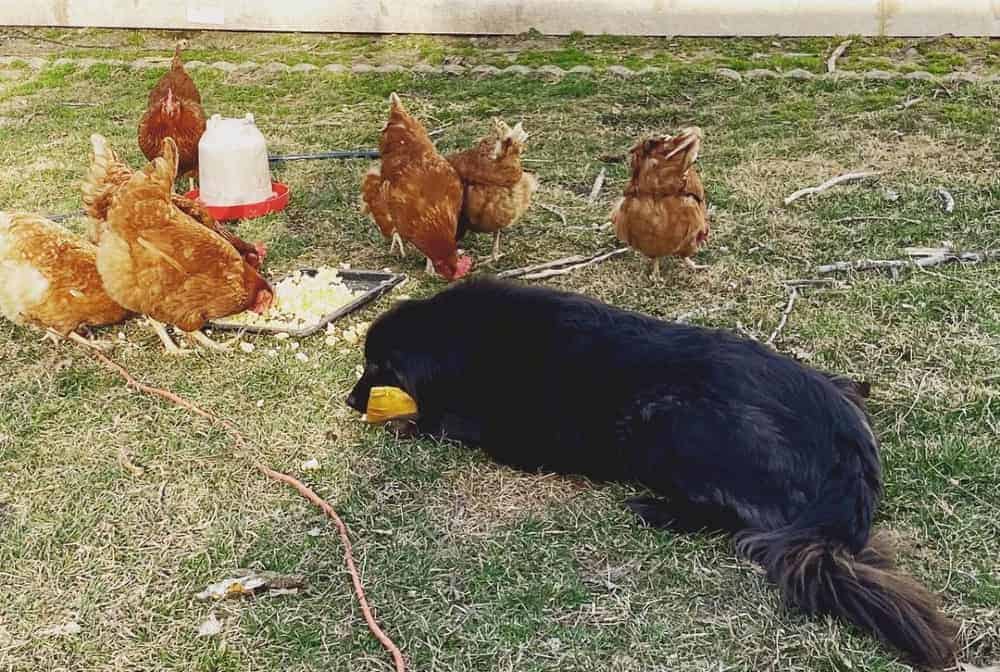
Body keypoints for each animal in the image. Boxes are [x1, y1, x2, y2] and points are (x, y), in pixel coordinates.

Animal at [348, 278, 956, 668]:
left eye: (378, 367)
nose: (350, 401)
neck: (461, 335)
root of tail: (844, 445)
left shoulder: (502, 434)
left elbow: (438, 421)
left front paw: (407, 423)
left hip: (667, 422)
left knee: (732, 522)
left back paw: (657, 510)